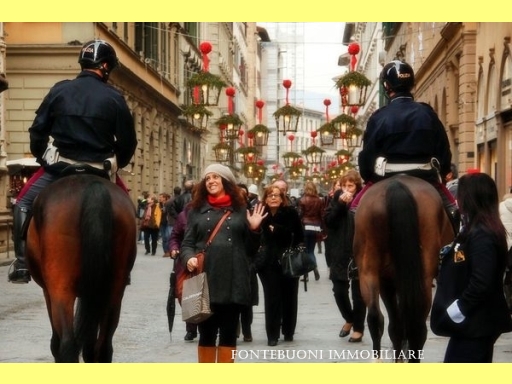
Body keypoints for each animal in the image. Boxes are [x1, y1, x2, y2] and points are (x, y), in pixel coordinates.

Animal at [25, 172, 137, 362]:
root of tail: (92, 185)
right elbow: (89, 344)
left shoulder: (48, 291)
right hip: (113, 290)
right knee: (104, 346)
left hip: (61, 290)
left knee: (66, 345)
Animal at [354, 176, 454, 362]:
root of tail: (397, 184)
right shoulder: (390, 281)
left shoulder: (386, 280)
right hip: (419, 275)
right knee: (416, 325)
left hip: (369, 270)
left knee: (375, 316)